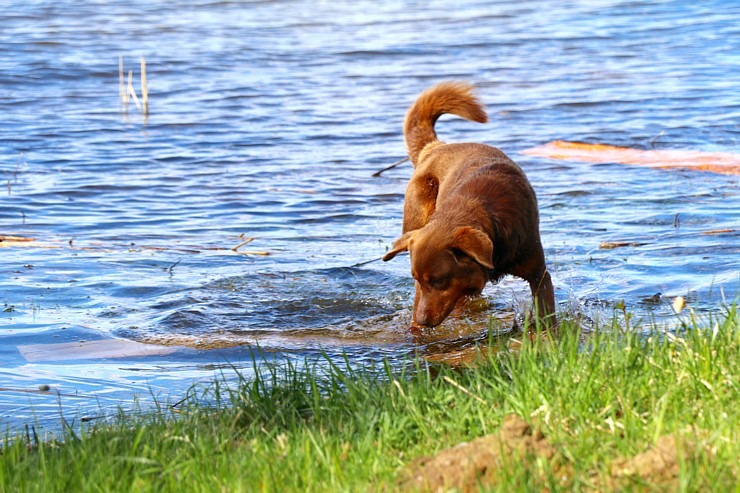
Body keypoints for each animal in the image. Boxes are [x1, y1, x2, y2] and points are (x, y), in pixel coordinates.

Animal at [382, 80, 556, 326]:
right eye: (420, 279)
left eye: (438, 281)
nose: (422, 321)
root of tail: (435, 147)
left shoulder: (538, 272)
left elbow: (546, 309)